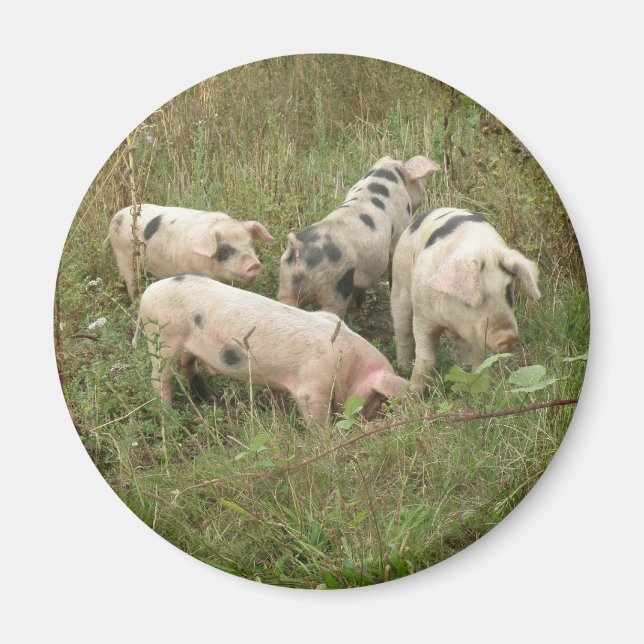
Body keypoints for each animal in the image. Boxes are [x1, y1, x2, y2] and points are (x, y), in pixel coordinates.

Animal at [104, 204, 274, 300]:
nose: (254, 265)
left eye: (250, 243)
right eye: (225, 249)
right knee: (131, 282)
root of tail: (116, 216)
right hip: (123, 255)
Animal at [132, 274, 408, 426]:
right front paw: (325, 438)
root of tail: (147, 293)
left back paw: (211, 398)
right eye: (377, 398)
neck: (349, 365)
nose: (366, 421)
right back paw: (169, 414)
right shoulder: (312, 388)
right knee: (160, 378)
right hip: (163, 339)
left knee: (188, 366)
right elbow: (316, 418)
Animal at [278, 155, 440, 319]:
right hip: (335, 286)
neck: (385, 175)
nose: (425, 186)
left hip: (286, 283)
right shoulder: (400, 228)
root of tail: (299, 249)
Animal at [391, 208, 541, 395]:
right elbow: (425, 359)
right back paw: (402, 367)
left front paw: (477, 392)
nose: (508, 337)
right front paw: (411, 395)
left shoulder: (477, 333)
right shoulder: (423, 316)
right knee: (402, 331)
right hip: (400, 283)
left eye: (508, 292)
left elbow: (481, 362)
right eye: (472, 299)